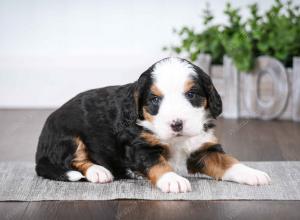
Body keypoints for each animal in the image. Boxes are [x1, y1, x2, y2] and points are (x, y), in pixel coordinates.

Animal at [36, 56, 270, 192]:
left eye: (191, 94)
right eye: (155, 99)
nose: (176, 124)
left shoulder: (203, 147)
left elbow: (227, 161)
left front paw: (252, 173)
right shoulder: (140, 147)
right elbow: (157, 163)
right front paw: (173, 180)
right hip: (69, 136)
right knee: (74, 160)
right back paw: (98, 171)